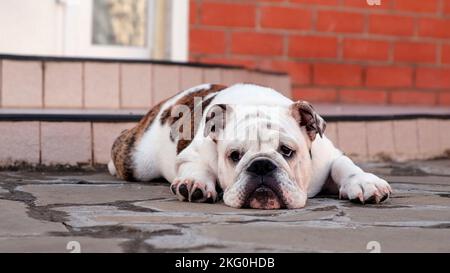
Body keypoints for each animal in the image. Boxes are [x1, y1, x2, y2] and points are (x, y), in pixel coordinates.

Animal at [108, 83, 390, 208]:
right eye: (234, 155)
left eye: (286, 151)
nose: (261, 165)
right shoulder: (191, 155)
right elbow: (196, 167)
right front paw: (194, 183)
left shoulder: (327, 155)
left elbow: (344, 164)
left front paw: (364, 182)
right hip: (138, 161)